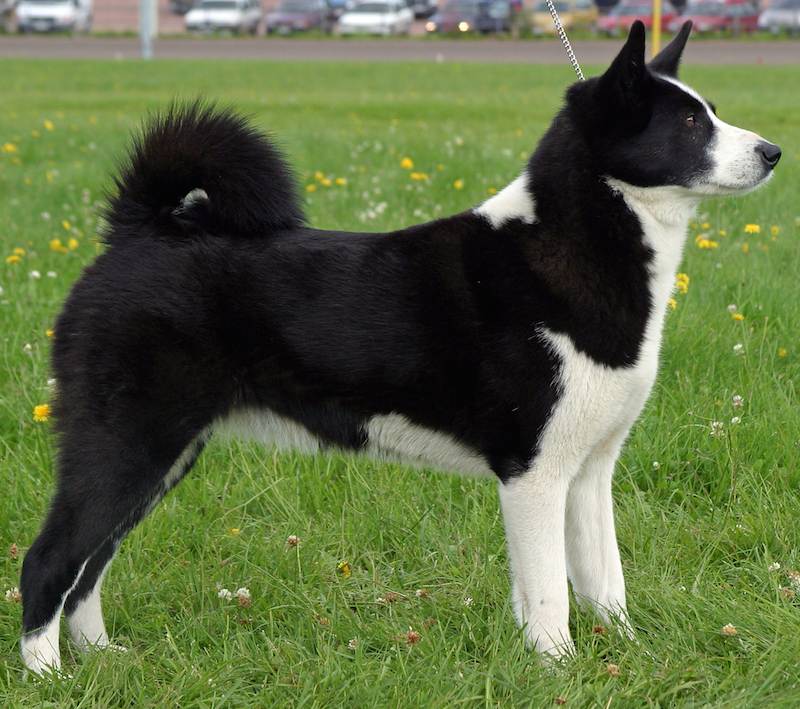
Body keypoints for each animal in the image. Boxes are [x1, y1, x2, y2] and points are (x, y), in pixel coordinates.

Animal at [18, 20, 780, 676]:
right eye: (688, 123)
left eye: (710, 111)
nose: (773, 152)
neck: (569, 244)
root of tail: (139, 231)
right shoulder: (533, 473)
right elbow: (548, 597)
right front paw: (557, 672)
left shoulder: (589, 472)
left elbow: (605, 584)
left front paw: (629, 659)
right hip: (126, 445)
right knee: (50, 560)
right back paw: (47, 674)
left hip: (162, 457)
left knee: (90, 565)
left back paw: (101, 657)